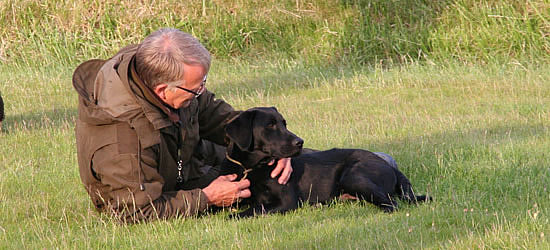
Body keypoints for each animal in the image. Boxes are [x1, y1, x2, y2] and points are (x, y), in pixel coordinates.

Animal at [222, 107, 434, 217]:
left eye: (284, 123)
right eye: (270, 125)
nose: (300, 142)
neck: (253, 168)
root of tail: (389, 166)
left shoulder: (286, 202)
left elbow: (248, 211)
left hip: (353, 176)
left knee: (393, 203)